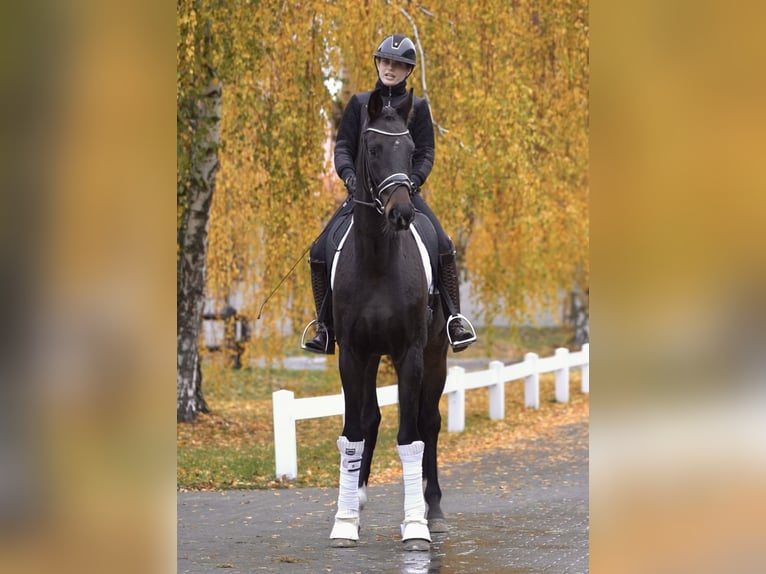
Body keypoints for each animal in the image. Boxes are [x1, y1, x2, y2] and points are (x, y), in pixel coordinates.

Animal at [328, 89, 450, 552]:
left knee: (429, 423)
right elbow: (353, 434)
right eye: (374, 148)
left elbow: (410, 439)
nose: (401, 213)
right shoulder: (352, 354)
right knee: (371, 419)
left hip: (435, 356)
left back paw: (433, 509)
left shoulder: (410, 354)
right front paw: (345, 520)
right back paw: (360, 497)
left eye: (412, 149)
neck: (379, 262)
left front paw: (415, 525)